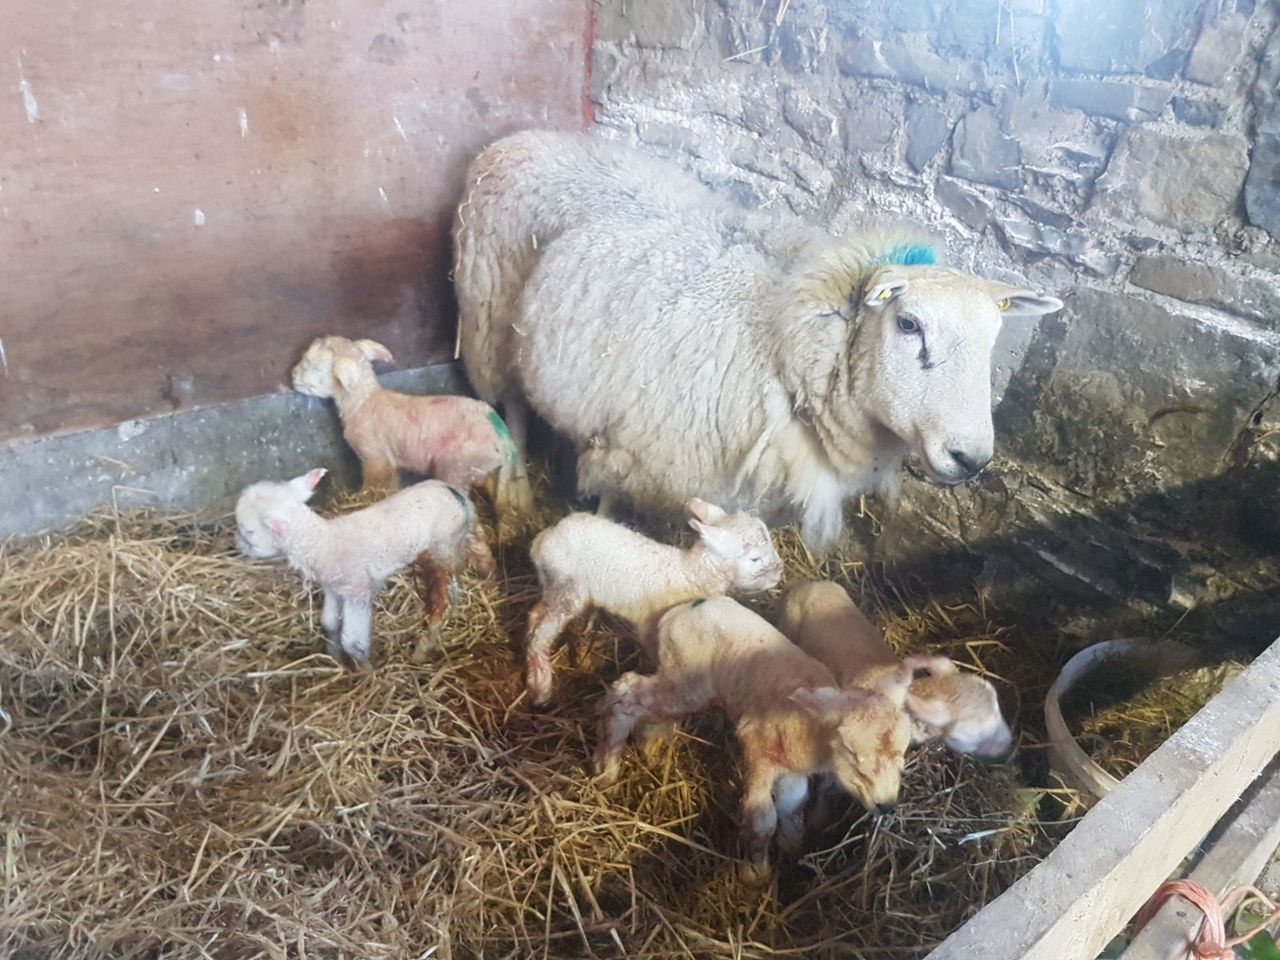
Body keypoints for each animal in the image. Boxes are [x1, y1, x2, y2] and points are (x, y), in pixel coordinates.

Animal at [234, 468, 491, 667]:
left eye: (249, 531)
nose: (239, 546)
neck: (323, 542)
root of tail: (457, 495)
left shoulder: (357, 590)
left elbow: (352, 641)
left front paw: (366, 670)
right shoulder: (333, 588)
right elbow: (329, 623)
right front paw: (334, 656)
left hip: (442, 545)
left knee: (445, 591)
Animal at [291, 335, 531, 524]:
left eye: (313, 365)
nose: (292, 376)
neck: (363, 402)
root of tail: (504, 441)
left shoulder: (375, 458)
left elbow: (372, 487)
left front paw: (362, 502)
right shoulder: (391, 462)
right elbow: (392, 485)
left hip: (457, 468)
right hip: (484, 470)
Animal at [453, 130, 1064, 547]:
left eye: (993, 337)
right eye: (908, 324)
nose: (971, 458)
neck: (787, 344)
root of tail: (521, 137)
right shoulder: (639, 448)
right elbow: (609, 497)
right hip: (488, 316)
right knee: (510, 405)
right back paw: (515, 488)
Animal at [524, 498, 783, 705]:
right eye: (754, 558)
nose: (780, 570)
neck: (690, 573)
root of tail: (542, 540)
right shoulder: (650, 623)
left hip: (553, 587)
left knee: (535, 614)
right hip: (568, 588)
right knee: (541, 634)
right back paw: (541, 688)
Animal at [594, 596, 913, 875]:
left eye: (902, 755)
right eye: (853, 753)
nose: (887, 805)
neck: (810, 728)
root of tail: (678, 612)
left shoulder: (793, 770)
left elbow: (792, 806)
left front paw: (792, 847)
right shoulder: (758, 753)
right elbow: (762, 819)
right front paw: (756, 874)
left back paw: (646, 750)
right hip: (686, 682)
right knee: (625, 691)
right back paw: (607, 767)